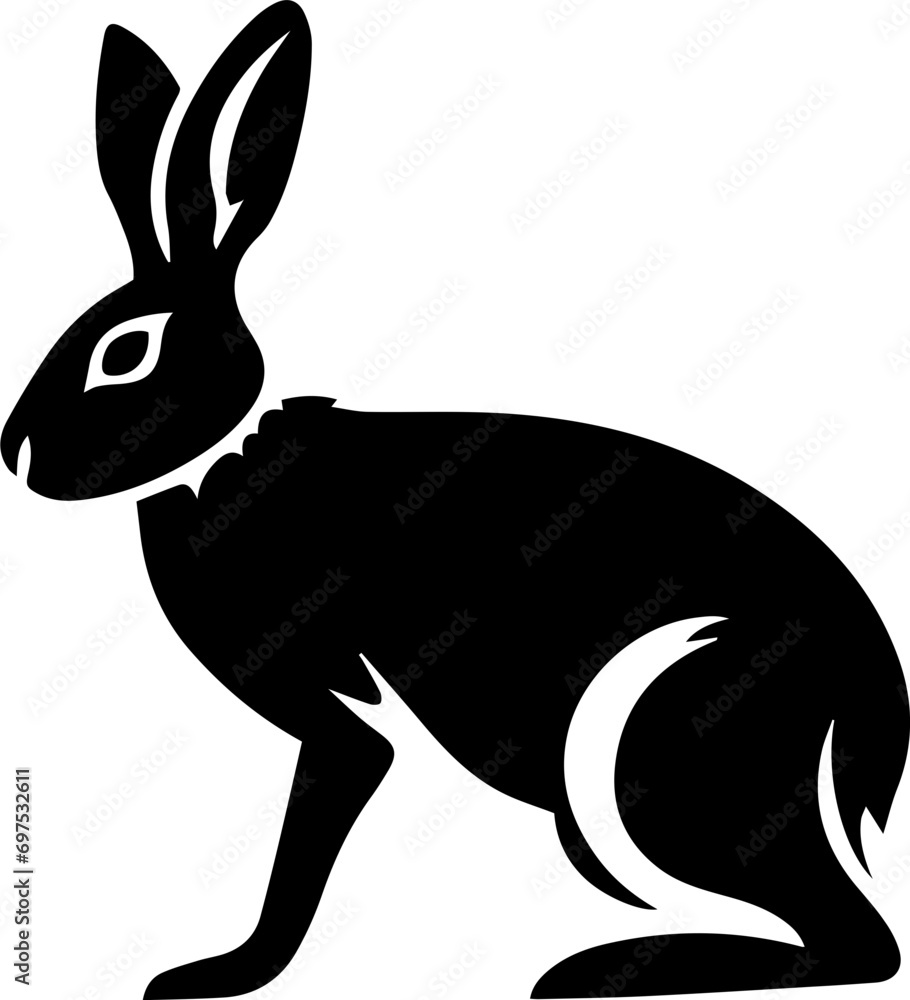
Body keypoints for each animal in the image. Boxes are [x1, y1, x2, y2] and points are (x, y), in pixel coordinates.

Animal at [2, 2, 908, 997]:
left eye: (123, 354)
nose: (15, 455)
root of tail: (874, 717)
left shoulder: (335, 716)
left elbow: (310, 838)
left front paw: (219, 975)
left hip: (652, 755)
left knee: (857, 941)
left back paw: (590, 972)